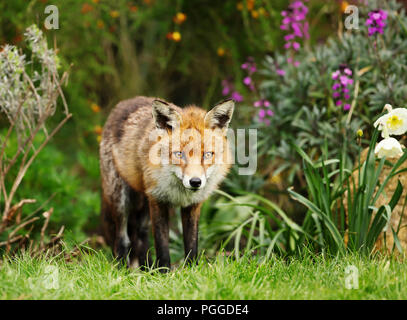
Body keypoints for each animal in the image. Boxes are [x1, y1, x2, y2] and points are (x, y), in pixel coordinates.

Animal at [99, 95, 236, 270]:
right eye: (179, 154)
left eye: (207, 155)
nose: (195, 182)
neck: (180, 193)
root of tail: (126, 102)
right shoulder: (158, 201)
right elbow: (162, 246)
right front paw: (164, 272)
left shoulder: (193, 205)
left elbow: (191, 245)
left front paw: (191, 270)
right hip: (121, 200)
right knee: (122, 239)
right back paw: (123, 269)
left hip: (144, 204)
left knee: (141, 236)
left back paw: (146, 269)